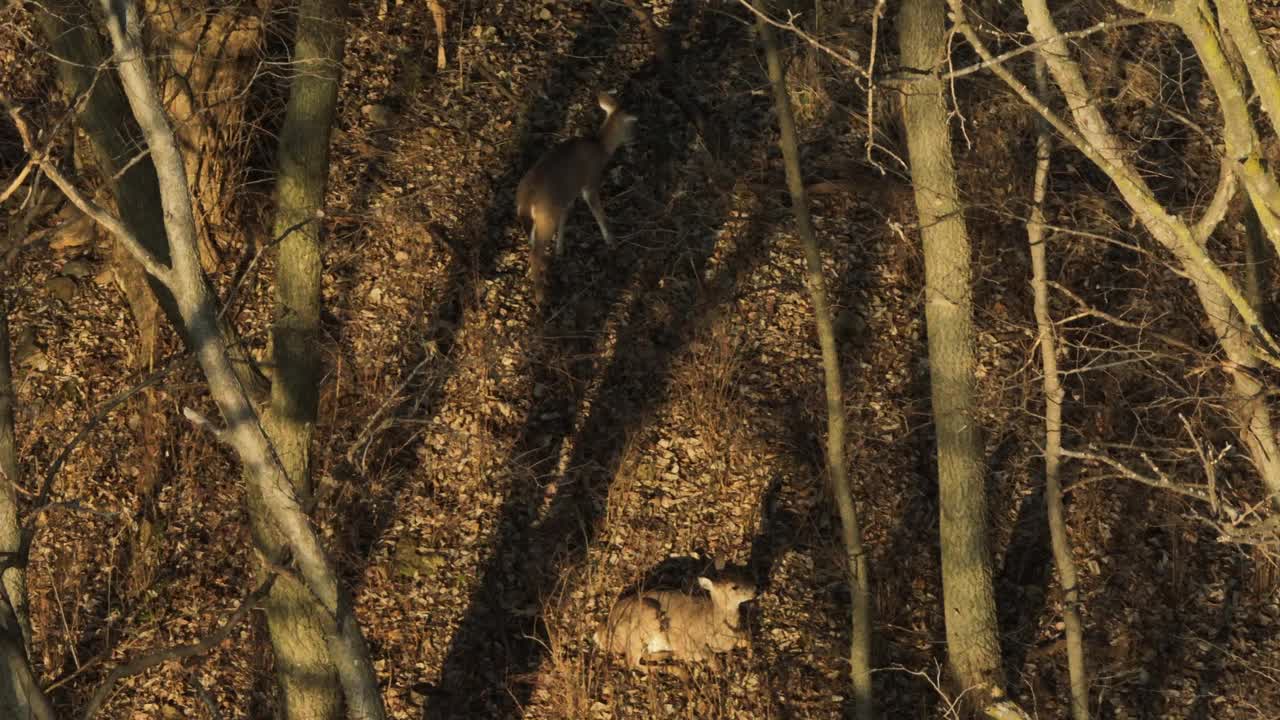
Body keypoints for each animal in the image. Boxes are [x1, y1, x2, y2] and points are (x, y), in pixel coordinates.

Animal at [509, 90, 629, 302]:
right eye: (630, 122)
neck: (600, 148)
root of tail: (525, 199)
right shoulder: (590, 182)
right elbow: (598, 212)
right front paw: (611, 241)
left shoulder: (568, 195)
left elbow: (566, 215)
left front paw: (559, 250)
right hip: (545, 216)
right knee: (534, 253)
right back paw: (541, 297)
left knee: (534, 245)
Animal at [591, 561, 752, 666]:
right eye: (734, 587)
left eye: (741, 577)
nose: (754, 589)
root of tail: (602, 633)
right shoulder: (689, 642)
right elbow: (710, 658)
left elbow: (748, 640)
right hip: (645, 621)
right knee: (632, 663)